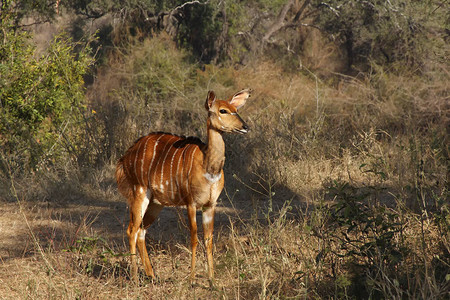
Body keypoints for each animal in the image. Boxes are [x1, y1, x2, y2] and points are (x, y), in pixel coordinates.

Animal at [115, 88, 250, 282]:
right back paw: (134, 277)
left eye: (236, 109)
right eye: (223, 110)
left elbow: (208, 239)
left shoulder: (210, 205)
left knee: (141, 231)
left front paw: (211, 279)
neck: (208, 167)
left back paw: (152, 275)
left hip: (156, 203)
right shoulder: (191, 203)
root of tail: (125, 157)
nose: (245, 126)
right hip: (139, 192)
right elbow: (194, 237)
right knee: (131, 230)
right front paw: (192, 279)